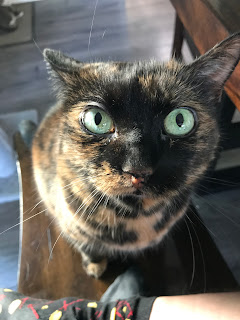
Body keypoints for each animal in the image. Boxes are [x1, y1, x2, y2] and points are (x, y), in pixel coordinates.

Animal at [31, 31, 240, 278]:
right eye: (97, 120)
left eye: (180, 120)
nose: (138, 168)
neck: (137, 217)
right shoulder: (70, 223)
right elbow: (88, 246)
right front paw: (94, 266)